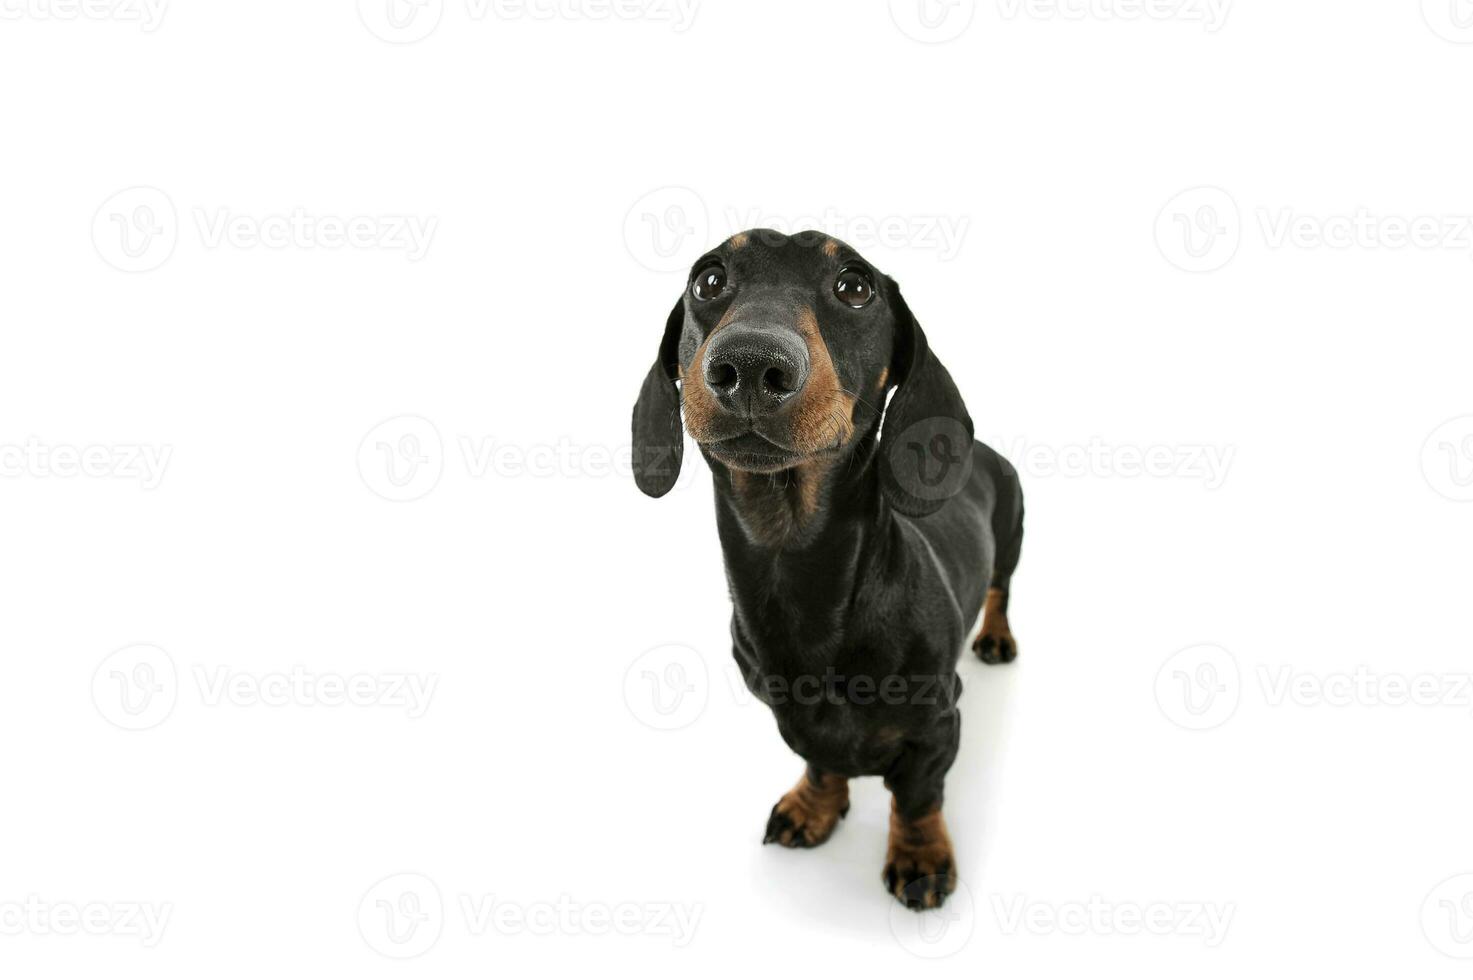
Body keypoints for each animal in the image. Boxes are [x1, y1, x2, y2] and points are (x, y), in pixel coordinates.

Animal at [630, 229, 1025, 907]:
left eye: (855, 286)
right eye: (709, 279)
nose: (750, 363)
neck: (794, 564)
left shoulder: (938, 726)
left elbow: (918, 798)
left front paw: (920, 857)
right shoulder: (790, 719)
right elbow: (820, 761)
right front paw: (813, 808)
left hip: (1016, 531)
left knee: (1001, 589)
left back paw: (996, 636)